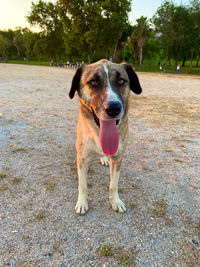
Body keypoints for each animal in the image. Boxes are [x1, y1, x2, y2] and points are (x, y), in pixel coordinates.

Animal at [69, 59, 142, 215]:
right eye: (93, 82)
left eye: (121, 81)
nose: (113, 108)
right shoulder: (83, 157)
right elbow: (82, 184)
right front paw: (82, 203)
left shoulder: (118, 158)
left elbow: (114, 184)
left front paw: (115, 202)